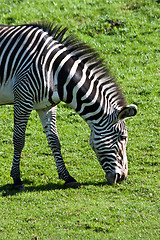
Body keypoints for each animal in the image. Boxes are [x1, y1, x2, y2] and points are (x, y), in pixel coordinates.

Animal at [0, 23, 138, 190]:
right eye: (123, 137)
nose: (123, 177)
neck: (54, 72)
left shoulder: (46, 106)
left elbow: (54, 141)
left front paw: (67, 177)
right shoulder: (23, 99)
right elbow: (19, 140)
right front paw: (17, 179)